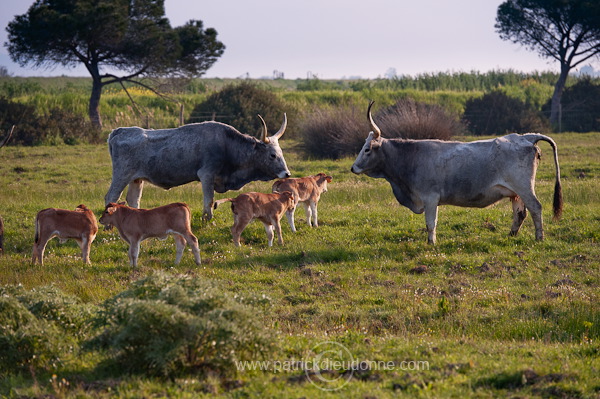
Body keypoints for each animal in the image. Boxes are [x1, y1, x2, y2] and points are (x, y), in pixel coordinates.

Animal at [105, 115, 290, 220]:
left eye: (281, 153)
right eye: (272, 155)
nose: (287, 174)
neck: (228, 145)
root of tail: (119, 131)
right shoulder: (207, 175)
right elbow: (209, 201)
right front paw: (209, 220)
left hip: (136, 179)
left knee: (133, 200)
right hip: (121, 176)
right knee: (111, 196)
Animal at [352, 101, 564, 244]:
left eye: (367, 149)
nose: (353, 168)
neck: (410, 158)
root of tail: (525, 137)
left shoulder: (430, 199)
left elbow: (431, 223)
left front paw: (431, 243)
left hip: (524, 187)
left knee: (535, 208)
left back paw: (539, 238)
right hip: (515, 192)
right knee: (520, 213)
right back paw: (511, 235)